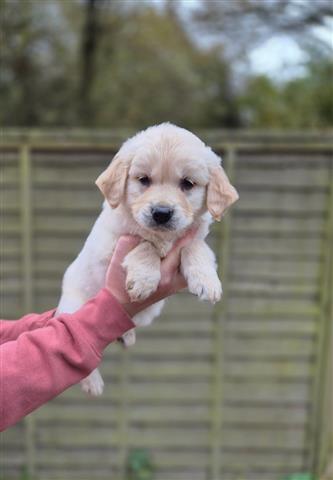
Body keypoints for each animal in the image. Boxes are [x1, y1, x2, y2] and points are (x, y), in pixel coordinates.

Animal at [57, 123, 239, 394]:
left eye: (187, 183)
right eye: (143, 180)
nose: (161, 213)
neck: (163, 236)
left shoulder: (195, 237)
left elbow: (194, 246)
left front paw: (207, 281)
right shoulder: (111, 243)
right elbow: (144, 245)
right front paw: (144, 280)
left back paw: (126, 335)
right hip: (72, 308)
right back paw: (93, 383)